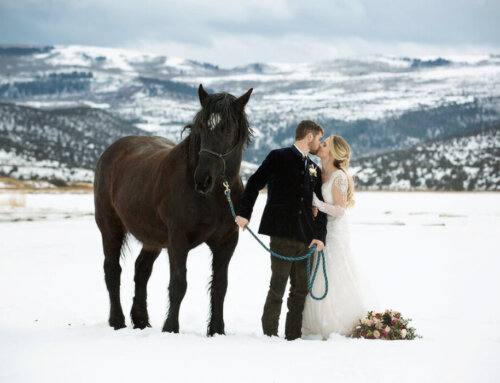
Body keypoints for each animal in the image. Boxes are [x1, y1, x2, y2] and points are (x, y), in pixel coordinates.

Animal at [93, 85, 252, 336]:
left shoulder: (226, 241)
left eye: (227, 129)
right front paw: (170, 329)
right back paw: (117, 321)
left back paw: (141, 320)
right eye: (201, 127)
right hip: (110, 228)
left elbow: (220, 286)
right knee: (112, 270)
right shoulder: (178, 239)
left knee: (141, 270)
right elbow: (178, 284)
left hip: (153, 238)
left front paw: (217, 331)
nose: (202, 179)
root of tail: (111, 151)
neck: (214, 197)